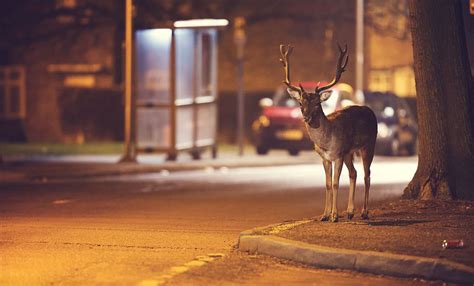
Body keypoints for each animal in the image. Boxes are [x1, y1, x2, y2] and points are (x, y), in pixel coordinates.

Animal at [280, 43, 380, 222]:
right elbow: (327, 183)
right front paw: (325, 214)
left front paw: (334, 215)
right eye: (300, 102)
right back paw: (350, 211)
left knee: (367, 175)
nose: (306, 117)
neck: (326, 141)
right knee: (354, 173)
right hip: (349, 152)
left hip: (369, 145)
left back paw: (364, 212)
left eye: (317, 103)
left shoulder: (338, 154)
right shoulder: (325, 158)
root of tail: (370, 111)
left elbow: (335, 183)